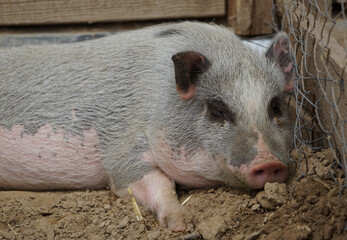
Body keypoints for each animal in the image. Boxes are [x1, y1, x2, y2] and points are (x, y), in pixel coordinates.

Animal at [0, 22, 294, 231]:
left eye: (275, 106)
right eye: (218, 110)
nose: (269, 163)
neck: (160, 99)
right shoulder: (122, 149)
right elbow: (157, 180)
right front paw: (181, 223)